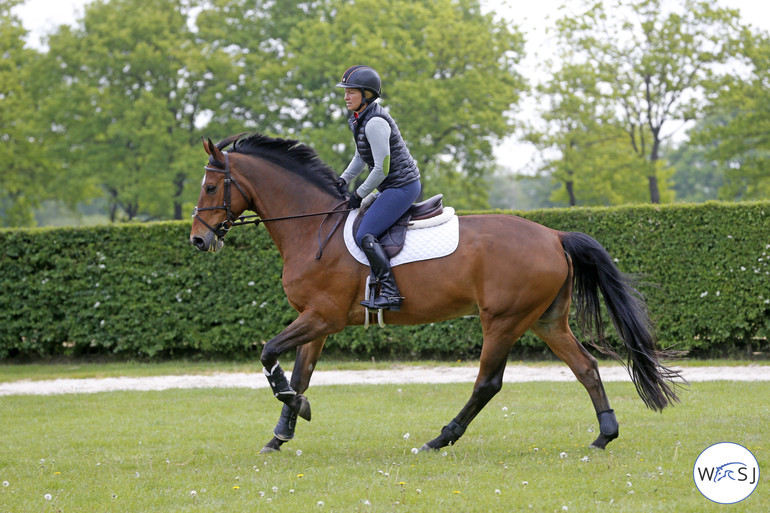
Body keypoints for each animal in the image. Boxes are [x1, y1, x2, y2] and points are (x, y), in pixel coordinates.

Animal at [188, 131, 680, 452]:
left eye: (211, 186)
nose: (197, 240)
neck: (311, 227)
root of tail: (555, 235)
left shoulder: (322, 316)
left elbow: (270, 353)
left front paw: (296, 409)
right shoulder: (318, 322)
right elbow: (301, 372)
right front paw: (282, 432)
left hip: (503, 320)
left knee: (488, 383)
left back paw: (440, 438)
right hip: (545, 320)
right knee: (586, 368)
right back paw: (603, 436)